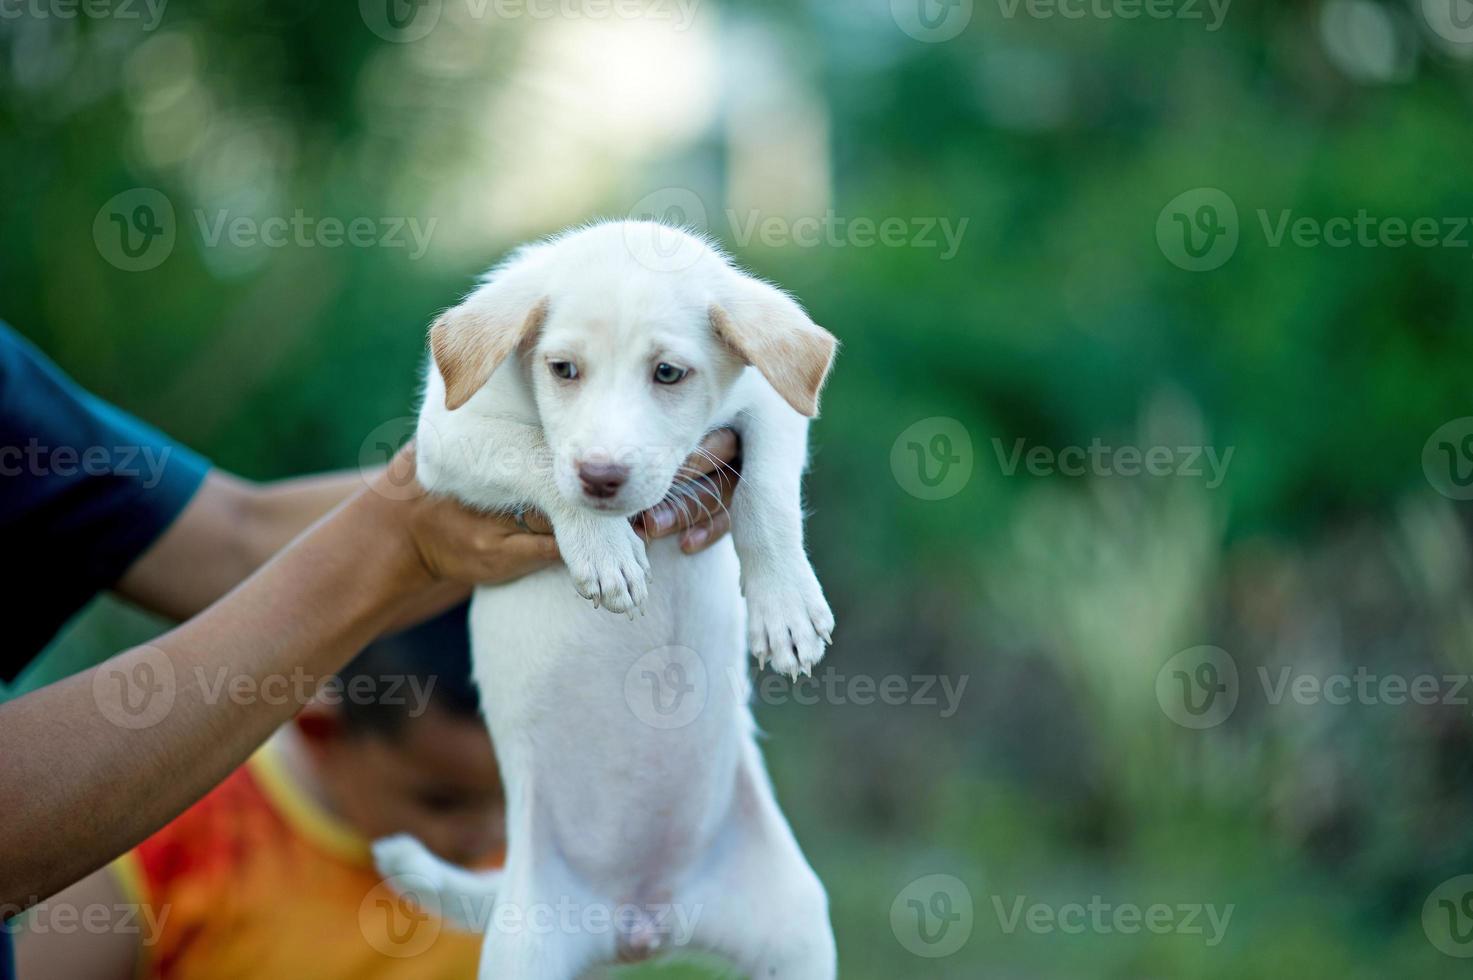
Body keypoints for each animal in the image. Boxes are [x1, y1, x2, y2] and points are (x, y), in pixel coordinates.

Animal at [371, 221, 842, 978]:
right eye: (562, 369)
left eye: (669, 374)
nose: (602, 476)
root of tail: (643, 916)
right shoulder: (447, 435)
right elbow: (536, 452)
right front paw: (605, 550)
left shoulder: (771, 402)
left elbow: (767, 491)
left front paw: (786, 609)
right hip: (524, 953)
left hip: (797, 935)